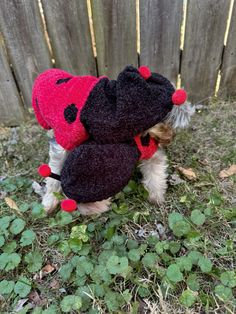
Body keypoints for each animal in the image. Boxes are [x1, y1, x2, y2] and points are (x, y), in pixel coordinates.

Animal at [33, 65, 195, 215]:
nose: (170, 138)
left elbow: (155, 171)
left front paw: (156, 197)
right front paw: (49, 202)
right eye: (166, 125)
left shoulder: (148, 150)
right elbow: (54, 174)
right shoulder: (64, 143)